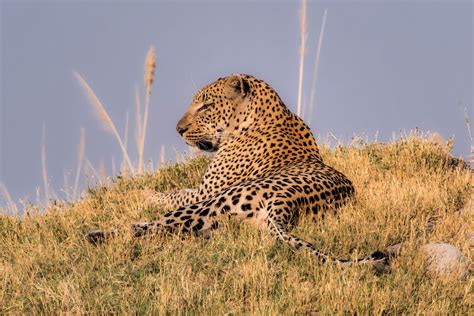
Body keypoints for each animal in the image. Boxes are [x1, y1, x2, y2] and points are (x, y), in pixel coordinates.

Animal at [88, 74, 388, 270]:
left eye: (206, 106)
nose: (179, 129)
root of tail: (289, 202)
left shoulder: (204, 192)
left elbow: (171, 193)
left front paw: (139, 192)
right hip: (217, 221)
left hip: (211, 204)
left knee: (152, 226)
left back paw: (96, 233)